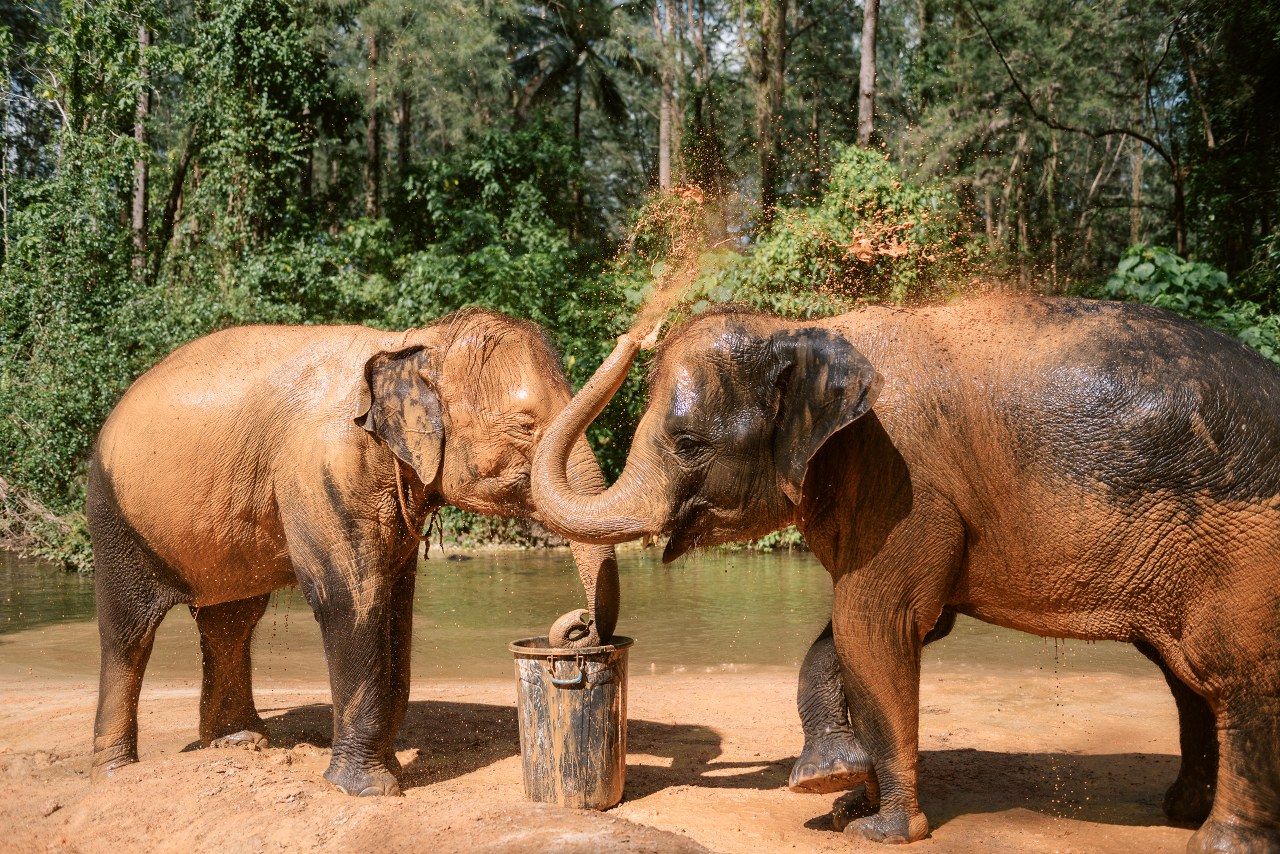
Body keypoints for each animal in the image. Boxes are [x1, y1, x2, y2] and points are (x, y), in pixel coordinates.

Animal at [87, 311, 616, 798]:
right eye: (526, 427)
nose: (580, 627)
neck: (411, 343)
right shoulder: (324, 470)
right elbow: (353, 602)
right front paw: (368, 789)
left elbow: (397, 608)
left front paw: (392, 771)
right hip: (116, 518)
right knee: (129, 632)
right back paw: (116, 771)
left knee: (231, 622)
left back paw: (239, 742)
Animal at [529, 300, 1280, 854]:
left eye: (688, 445)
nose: (639, 328)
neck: (807, 329)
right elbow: (858, 631)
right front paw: (835, 792)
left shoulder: (908, 483)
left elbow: (876, 623)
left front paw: (880, 830)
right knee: (1186, 678)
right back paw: (1180, 811)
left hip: (1246, 552)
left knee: (1236, 676)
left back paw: (1221, 841)